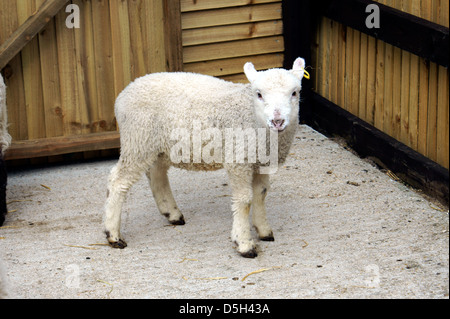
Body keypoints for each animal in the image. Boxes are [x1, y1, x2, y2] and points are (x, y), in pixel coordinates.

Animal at [103, 57, 306, 258]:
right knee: (117, 181)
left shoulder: (261, 161)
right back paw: (113, 234)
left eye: (294, 93)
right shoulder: (238, 160)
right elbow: (244, 200)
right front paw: (244, 242)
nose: (277, 121)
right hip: (138, 140)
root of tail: (123, 94)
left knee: (156, 174)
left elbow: (261, 194)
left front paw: (263, 230)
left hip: (158, 145)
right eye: (259, 94)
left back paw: (172, 213)